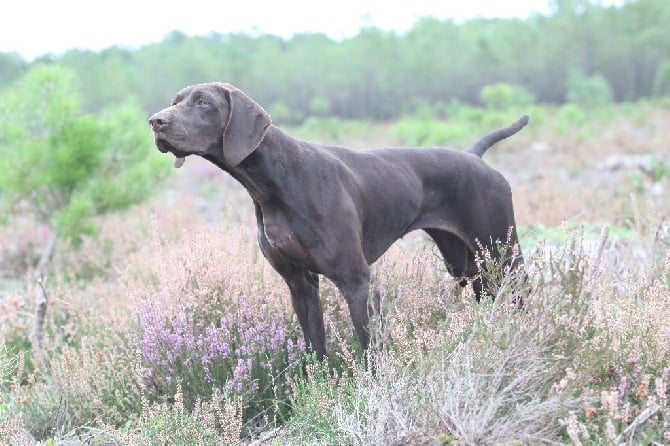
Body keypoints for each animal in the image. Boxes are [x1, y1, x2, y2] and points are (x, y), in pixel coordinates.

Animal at [148, 82, 532, 358]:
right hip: (467, 264)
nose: (155, 121)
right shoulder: (300, 285)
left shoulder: (356, 281)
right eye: (176, 99)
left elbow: (371, 350)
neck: (275, 181)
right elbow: (315, 350)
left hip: (503, 254)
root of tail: (475, 157)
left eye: (203, 102)